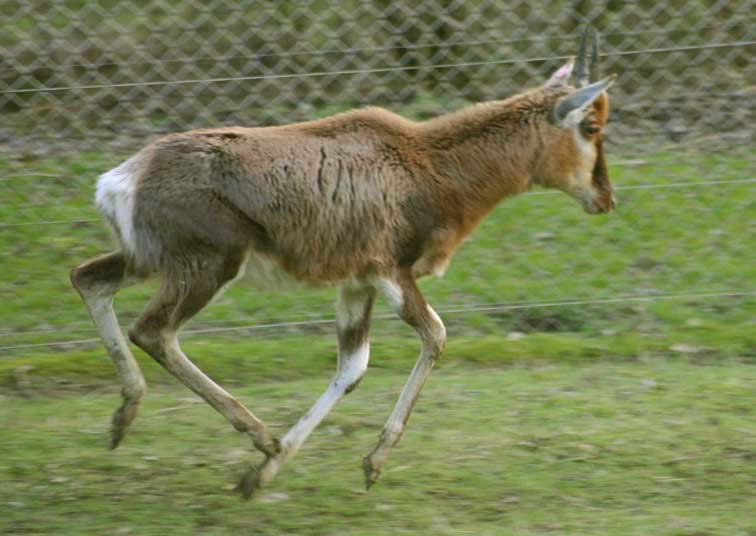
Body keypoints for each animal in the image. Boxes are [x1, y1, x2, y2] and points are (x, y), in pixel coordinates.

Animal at [69, 28, 616, 498]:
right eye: (590, 126)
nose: (606, 199)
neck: (422, 159)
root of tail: (125, 177)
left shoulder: (357, 284)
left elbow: (352, 367)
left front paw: (262, 474)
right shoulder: (390, 272)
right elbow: (436, 336)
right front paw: (367, 462)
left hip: (148, 262)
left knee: (89, 279)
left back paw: (126, 418)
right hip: (209, 269)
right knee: (154, 331)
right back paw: (258, 434)